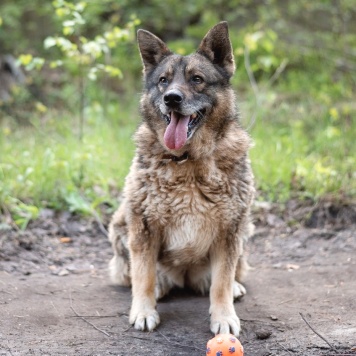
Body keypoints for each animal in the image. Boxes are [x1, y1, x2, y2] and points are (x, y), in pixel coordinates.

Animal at [107, 22, 254, 336]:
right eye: (163, 81)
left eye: (197, 79)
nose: (171, 98)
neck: (188, 160)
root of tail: (184, 276)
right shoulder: (143, 225)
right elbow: (143, 275)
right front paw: (143, 310)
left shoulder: (230, 230)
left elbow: (221, 282)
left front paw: (224, 316)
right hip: (121, 223)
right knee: (141, 273)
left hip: (245, 229)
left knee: (224, 276)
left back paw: (232, 286)